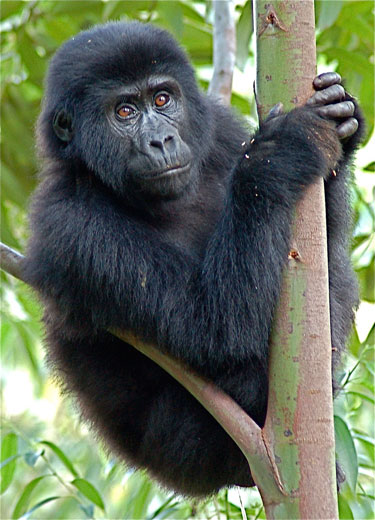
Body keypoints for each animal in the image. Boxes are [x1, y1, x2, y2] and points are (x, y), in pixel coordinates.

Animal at [25, 22, 364, 498]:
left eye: (162, 100)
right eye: (124, 111)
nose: (161, 140)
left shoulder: (218, 128)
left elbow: (322, 261)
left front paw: (341, 119)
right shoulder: (69, 228)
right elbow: (217, 327)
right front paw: (279, 153)